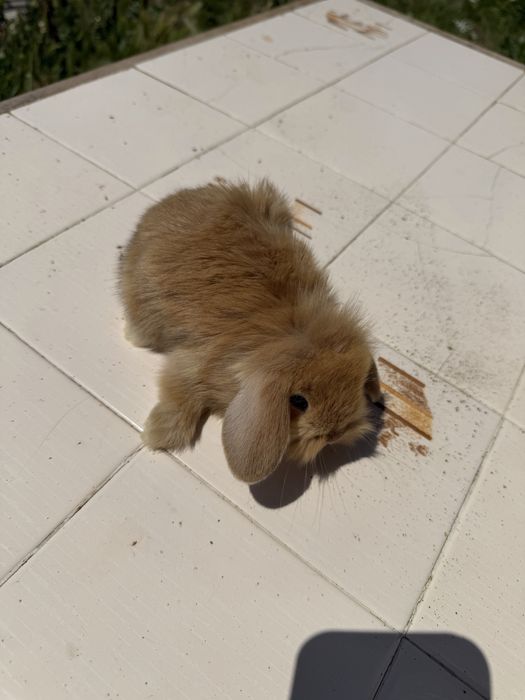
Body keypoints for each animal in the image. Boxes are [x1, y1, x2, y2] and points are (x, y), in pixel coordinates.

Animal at [118, 179, 382, 484]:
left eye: (357, 385)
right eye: (299, 401)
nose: (334, 434)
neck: (290, 333)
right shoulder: (191, 366)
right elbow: (178, 398)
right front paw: (156, 436)